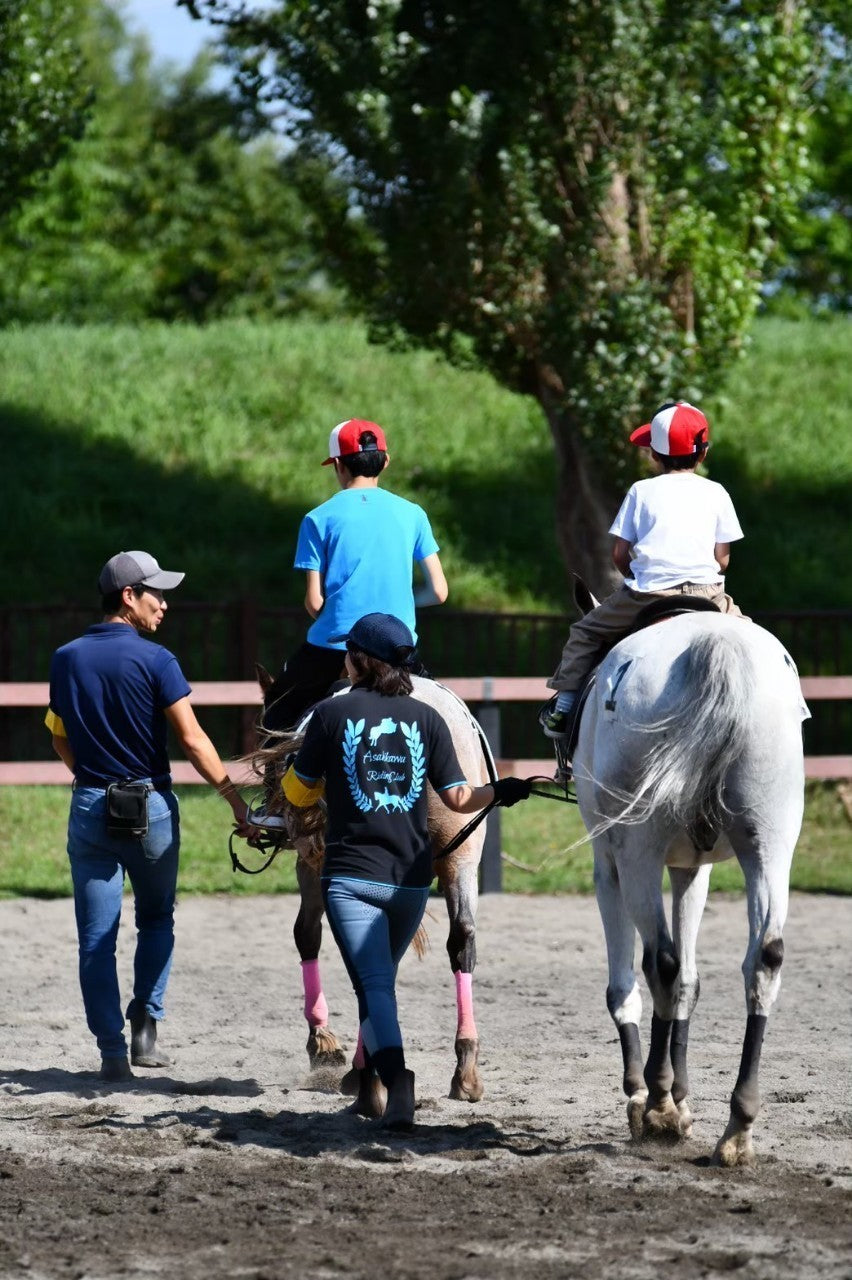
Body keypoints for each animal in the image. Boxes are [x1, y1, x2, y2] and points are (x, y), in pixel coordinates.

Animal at [252, 670, 488, 1100]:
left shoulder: (311, 865)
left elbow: (306, 935)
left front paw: (322, 1044)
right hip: (462, 859)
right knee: (461, 940)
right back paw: (464, 1070)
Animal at [570, 614, 803, 1167]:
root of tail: (719, 644)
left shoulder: (608, 867)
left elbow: (628, 987)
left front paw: (649, 1097)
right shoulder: (691, 870)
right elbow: (691, 986)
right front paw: (683, 1096)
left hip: (637, 850)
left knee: (661, 960)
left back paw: (657, 1103)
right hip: (770, 841)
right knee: (763, 958)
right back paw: (738, 1126)